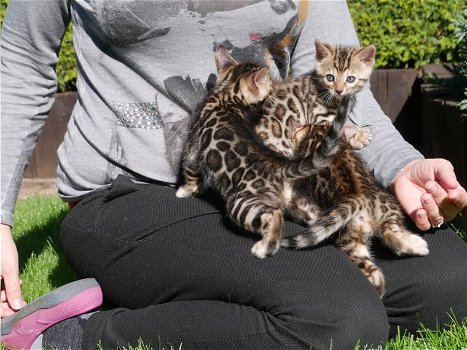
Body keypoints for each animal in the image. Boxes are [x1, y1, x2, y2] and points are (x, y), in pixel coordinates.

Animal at [177, 45, 352, 260]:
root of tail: (279, 166)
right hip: (302, 205)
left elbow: (190, 170)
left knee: (275, 214)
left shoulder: (193, 147)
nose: (271, 94)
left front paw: (187, 190)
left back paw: (265, 247)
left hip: (242, 202)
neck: (226, 96)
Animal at [258, 39, 430, 296]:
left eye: (350, 78)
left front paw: (359, 135)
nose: (339, 90)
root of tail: (357, 199)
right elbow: (341, 130)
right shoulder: (322, 119)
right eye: (330, 77)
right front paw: (358, 135)